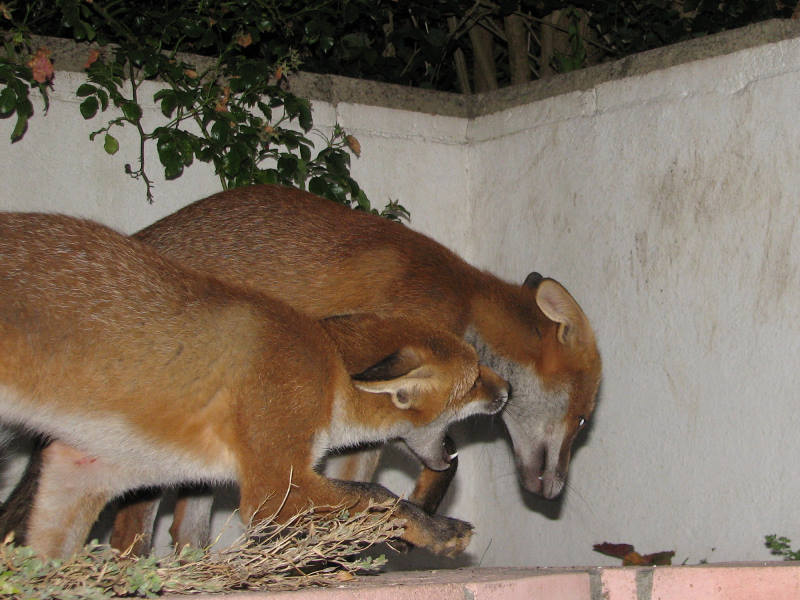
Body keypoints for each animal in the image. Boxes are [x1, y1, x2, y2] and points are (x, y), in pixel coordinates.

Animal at [2, 183, 602, 554]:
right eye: (579, 420)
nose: (553, 495)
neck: (463, 305)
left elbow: (418, 467)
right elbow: (400, 477)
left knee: (185, 525)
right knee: (133, 530)